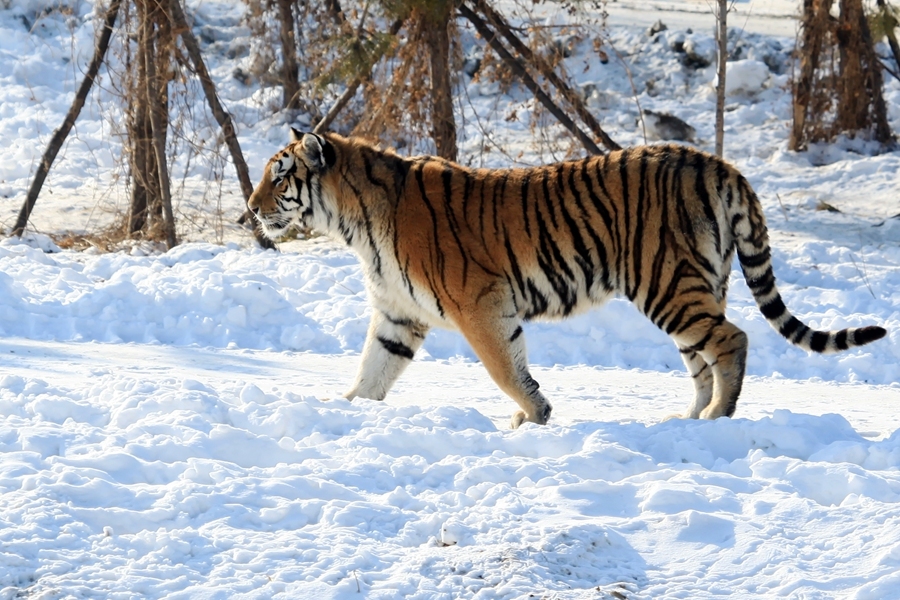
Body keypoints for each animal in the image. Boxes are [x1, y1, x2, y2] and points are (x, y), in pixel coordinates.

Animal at [247, 128, 887, 429]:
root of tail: (717, 162)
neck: (355, 223)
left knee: (733, 340)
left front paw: (532, 417)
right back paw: (688, 421)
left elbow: (507, 371)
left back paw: (717, 420)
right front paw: (345, 411)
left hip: (668, 283)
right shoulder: (397, 315)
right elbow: (372, 372)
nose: (249, 210)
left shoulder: (480, 306)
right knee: (704, 356)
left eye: (279, 177)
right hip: (697, 284)